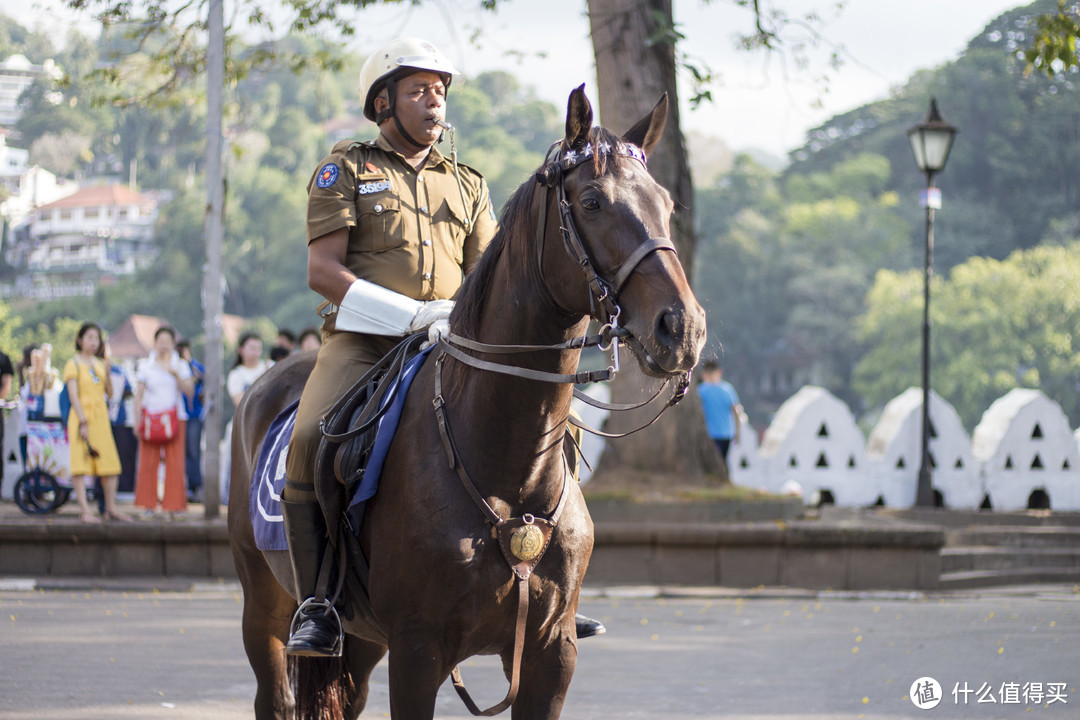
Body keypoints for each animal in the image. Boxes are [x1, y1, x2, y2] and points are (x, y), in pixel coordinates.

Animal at [227, 85, 708, 720]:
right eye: (592, 201)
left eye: (666, 204)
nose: (683, 329)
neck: (507, 466)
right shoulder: (417, 652)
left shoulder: (549, 654)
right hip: (265, 608)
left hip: (360, 640)